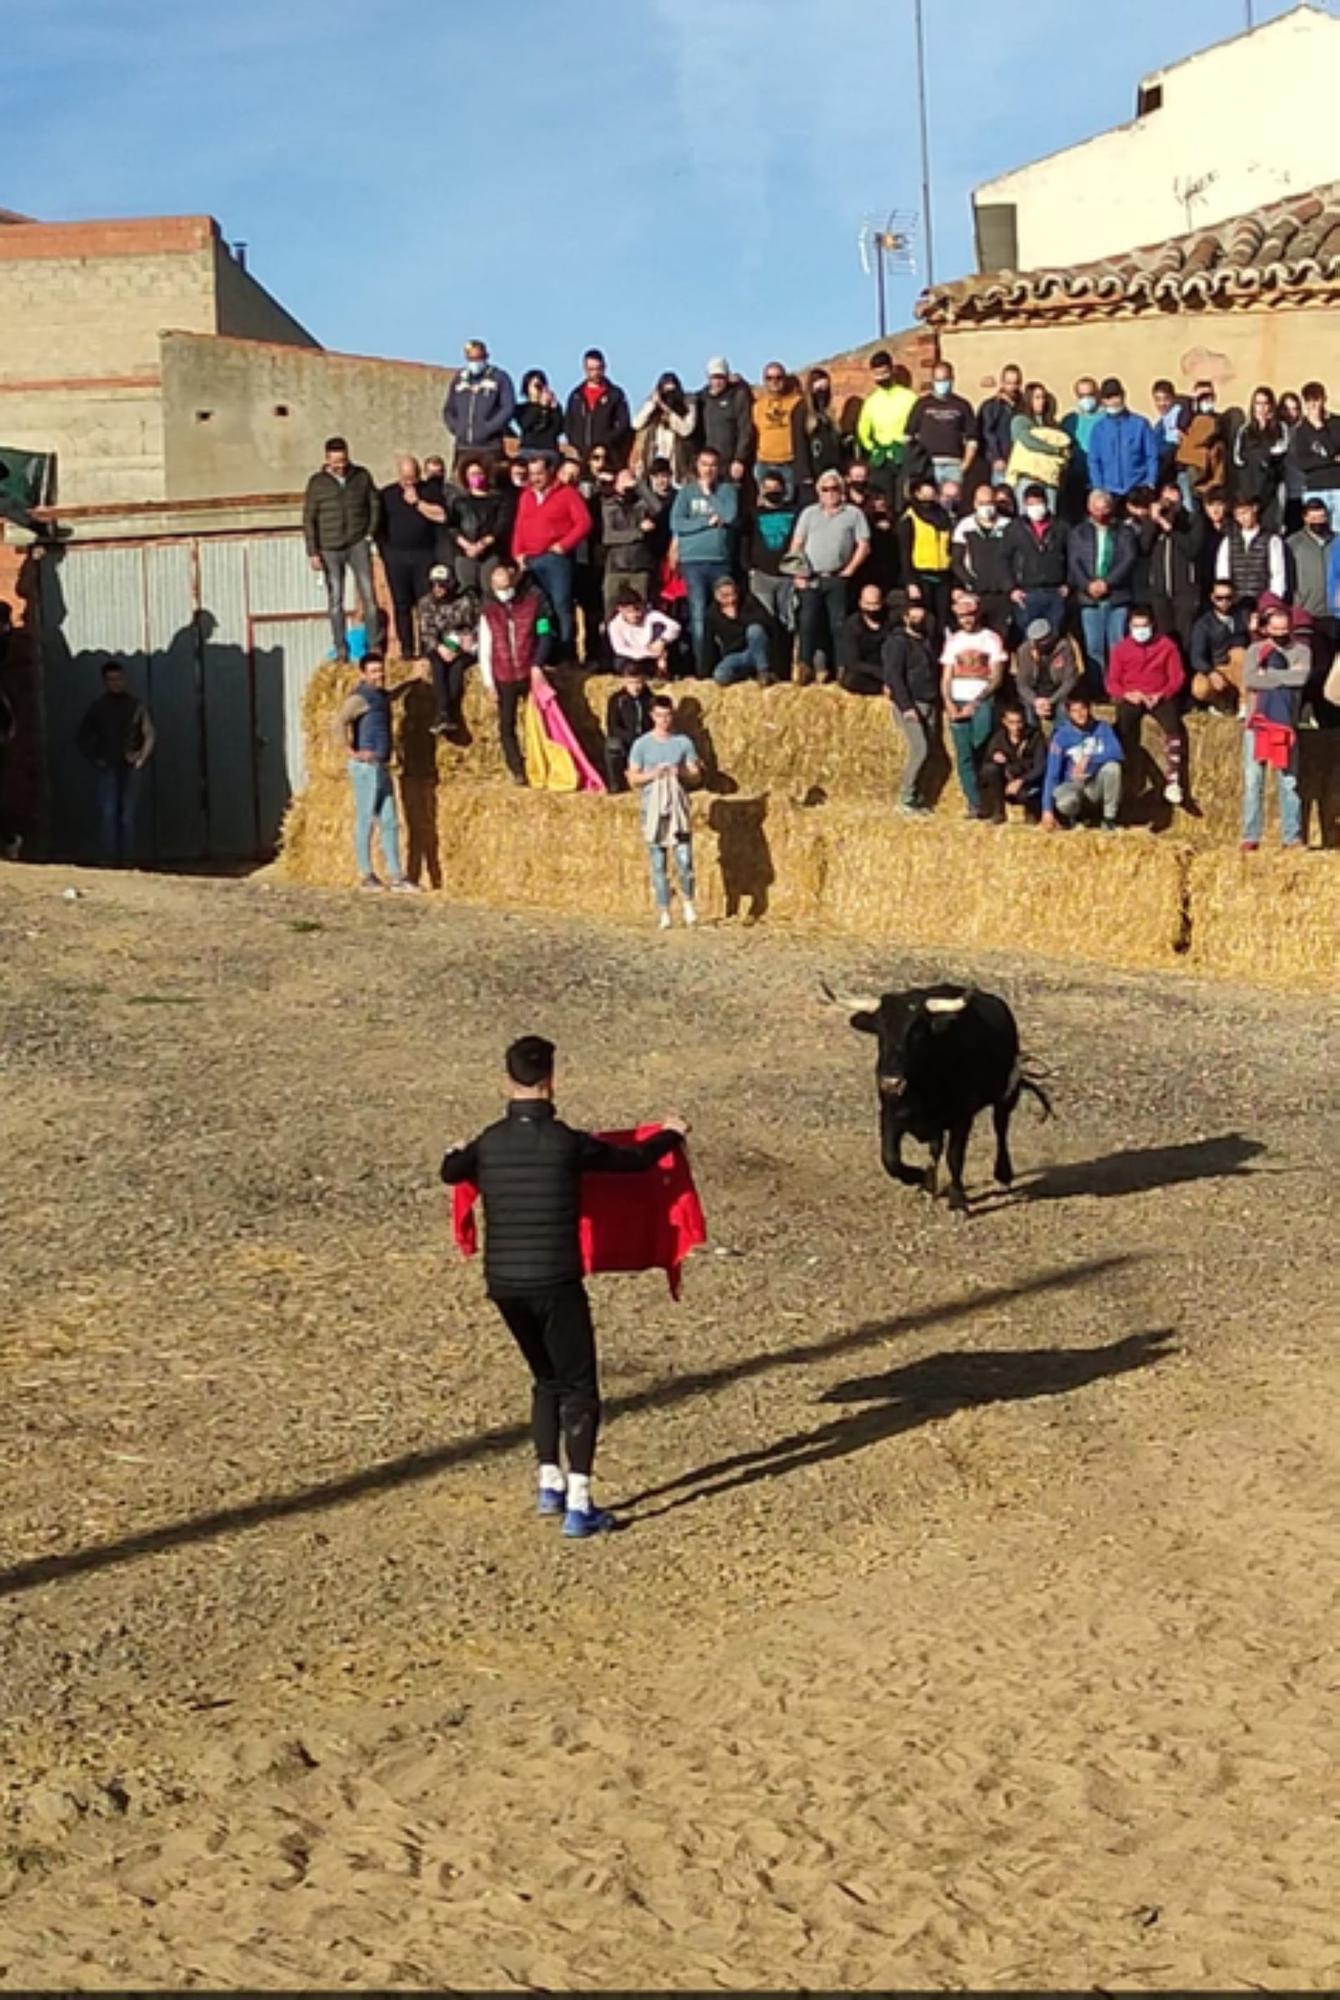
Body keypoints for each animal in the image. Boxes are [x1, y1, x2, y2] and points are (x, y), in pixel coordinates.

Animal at [824, 980, 1056, 1208]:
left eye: (916, 1032)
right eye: (880, 1032)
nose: (891, 1082)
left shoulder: (962, 1118)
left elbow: (955, 1157)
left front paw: (957, 1201)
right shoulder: (890, 1115)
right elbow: (890, 1158)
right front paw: (921, 1178)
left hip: (1006, 1095)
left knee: (1001, 1128)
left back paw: (1003, 1174)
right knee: (936, 1148)